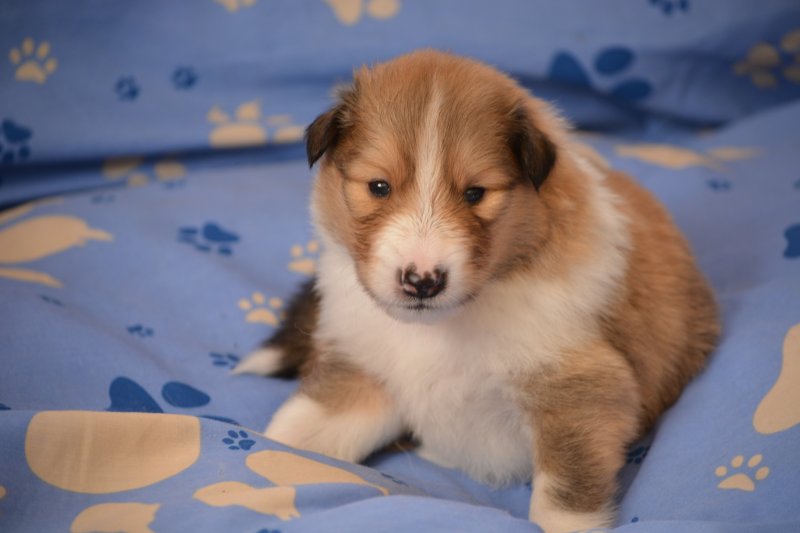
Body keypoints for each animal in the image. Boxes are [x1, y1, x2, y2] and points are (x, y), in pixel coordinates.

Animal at [234, 50, 720, 532]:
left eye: (475, 193)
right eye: (379, 186)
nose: (422, 280)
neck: (442, 326)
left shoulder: (580, 396)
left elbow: (563, 502)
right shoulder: (365, 371)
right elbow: (299, 432)